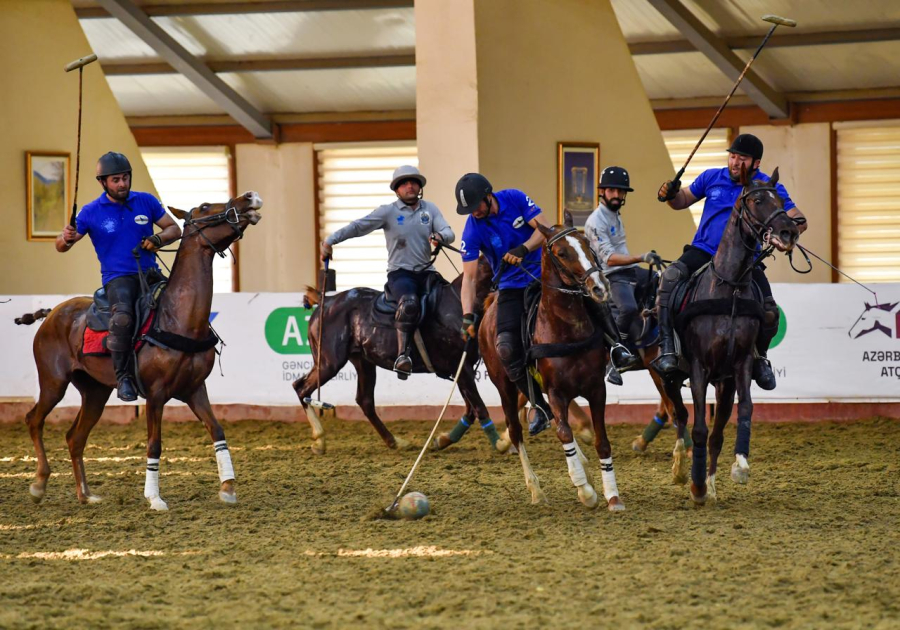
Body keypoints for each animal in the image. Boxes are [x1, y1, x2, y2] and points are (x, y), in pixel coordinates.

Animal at [16, 190, 264, 512]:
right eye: (205, 206)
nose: (249, 197)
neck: (178, 318)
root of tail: (51, 312)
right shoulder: (156, 394)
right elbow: (154, 444)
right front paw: (154, 497)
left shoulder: (195, 389)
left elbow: (218, 431)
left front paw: (228, 487)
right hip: (53, 382)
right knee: (34, 419)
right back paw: (38, 484)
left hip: (95, 391)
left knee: (74, 437)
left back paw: (86, 494)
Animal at [294, 252, 492, 454]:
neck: (458, 305)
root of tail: (326, 301)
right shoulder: (460, 366)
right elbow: (479, 407)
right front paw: (500, 443)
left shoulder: (463, 369)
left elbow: (471, 409)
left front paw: (443, 439)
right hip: (329, 362)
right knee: (301, 387)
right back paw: (319, 439)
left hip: (362, 361)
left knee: (364, 400)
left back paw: (394, 441)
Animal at [478, 212, 624, 512]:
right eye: (561, 253)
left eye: (586, 243)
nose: (599, 287)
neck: (567, 328)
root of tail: (490, 304)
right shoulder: (556, 392)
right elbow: (563, 434)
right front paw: (586, 492)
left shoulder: (596, 389)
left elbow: (601, 441)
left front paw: (612, 495)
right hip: (504, 385)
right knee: (517, 430)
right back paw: (536, 489)